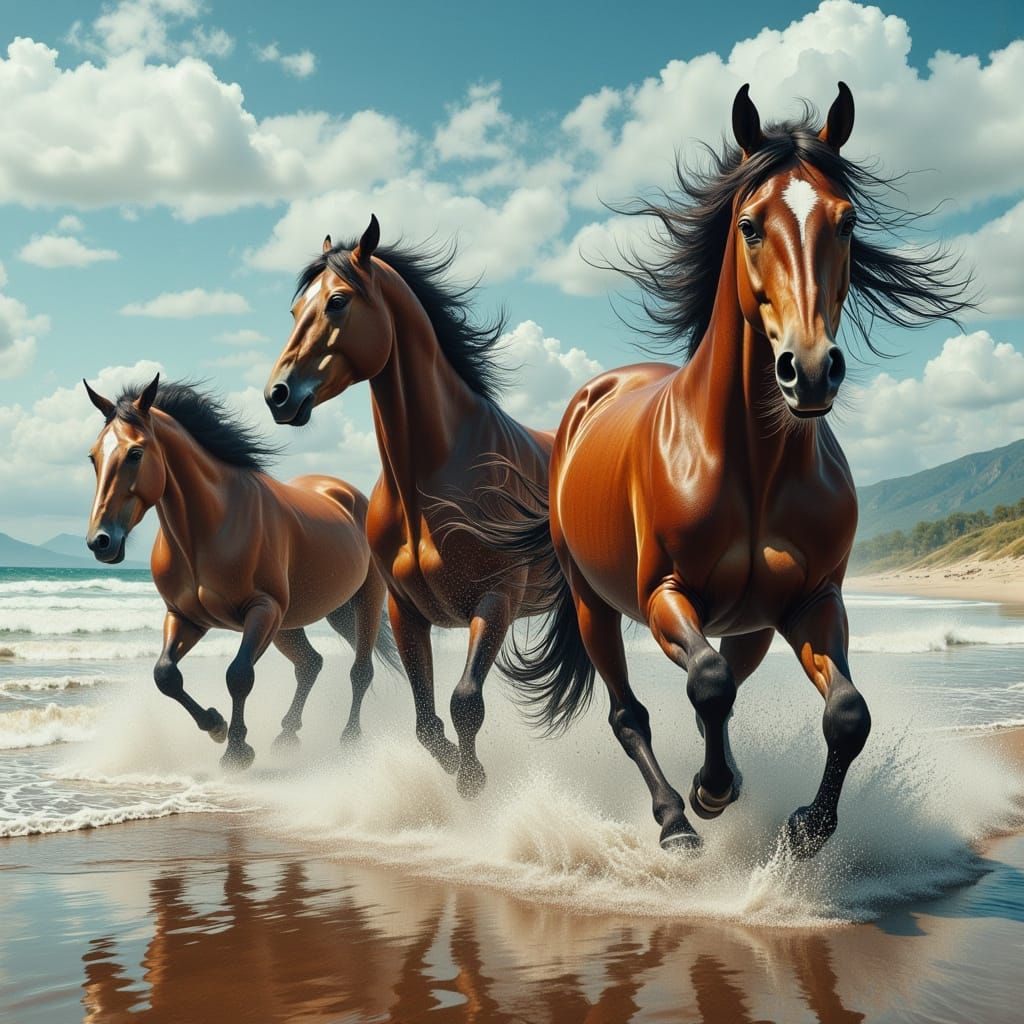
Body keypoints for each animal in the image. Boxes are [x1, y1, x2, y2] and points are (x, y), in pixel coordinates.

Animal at [83, 375, 399, 770]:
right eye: (93, 456)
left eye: (135, 453)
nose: (101, 542)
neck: (208, 531)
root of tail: (346, 493)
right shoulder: (185, 616)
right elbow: (166, 675)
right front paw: (215, 725)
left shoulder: (261, 611)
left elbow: (238, 674)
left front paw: (237, 750)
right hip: (295, 620)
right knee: (310, 664)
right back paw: (286, 734)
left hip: (362, 601)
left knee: (360, 670)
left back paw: (350, 740)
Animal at [263, 226, 552, 797]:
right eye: (294, 309)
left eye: (337, 301)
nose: (278, 395)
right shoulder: (405, 610)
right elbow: (426, 722)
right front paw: (457, 768)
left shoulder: (496, 600)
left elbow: (465, 701)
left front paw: (473, 782)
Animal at [457, 83, 973, 856]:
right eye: (752, 225)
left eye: (847, 222)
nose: (809, 370)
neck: (753, 467)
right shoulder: (664, 595)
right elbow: (706, 681)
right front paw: (711, 793)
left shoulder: (813, 600)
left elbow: (847, 714)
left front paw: (806, 830)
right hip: (593, 604)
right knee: (632, 712)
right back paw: (677, 818)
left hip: (751, 623)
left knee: (729, 687)